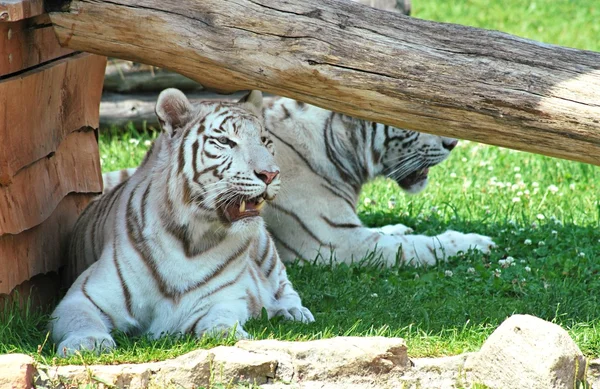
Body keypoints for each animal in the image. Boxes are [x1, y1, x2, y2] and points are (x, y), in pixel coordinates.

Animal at [51, 88, 314, 354]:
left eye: (264, 141)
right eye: (225, 141)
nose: (271, 174)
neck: (191, 239)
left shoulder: (223, 298)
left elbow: (222, 317)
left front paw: (229, 334)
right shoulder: (83, 296)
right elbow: (82, 319)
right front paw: (88, 343)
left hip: (266, 252)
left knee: (283, 285)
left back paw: (293, 312)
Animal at [103, 95, 494, 268]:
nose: (453, 143)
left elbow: (392, 233)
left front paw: (399, 226)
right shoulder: (336, 240)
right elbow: (417, 247)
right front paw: (475, 241)